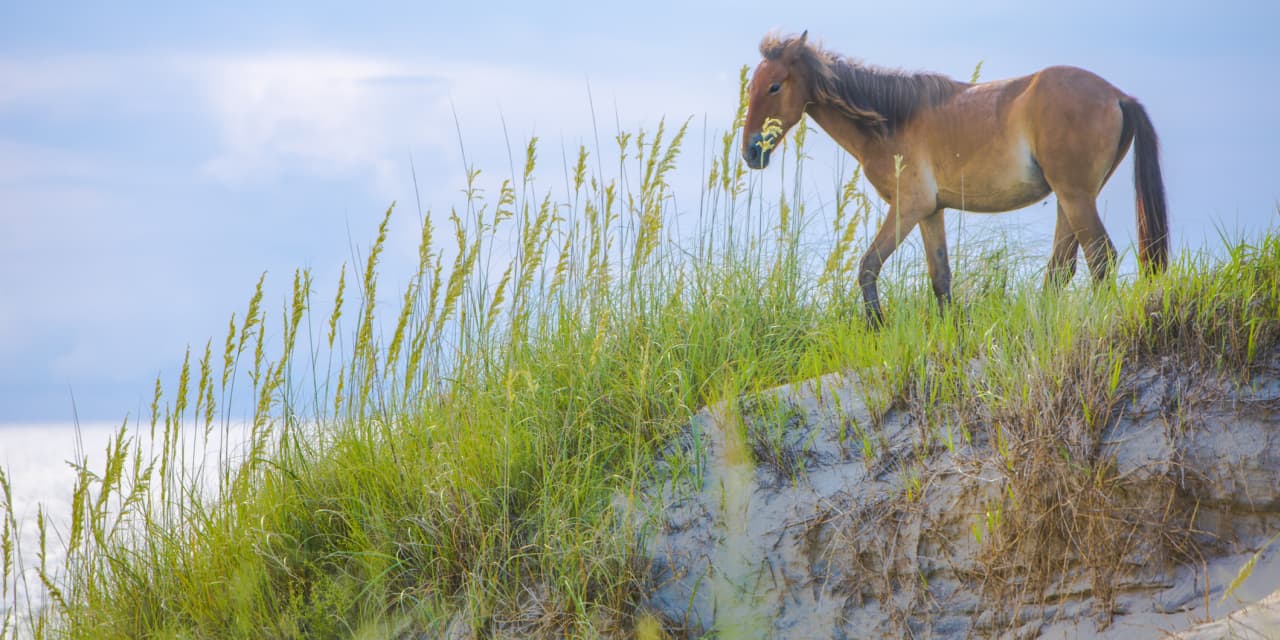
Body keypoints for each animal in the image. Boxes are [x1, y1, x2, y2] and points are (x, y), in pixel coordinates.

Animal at [742, 31, 1172, 327]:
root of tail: (1117, 95)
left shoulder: (909, 207)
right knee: (1063, 268)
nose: (750, 152)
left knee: (1100, 258)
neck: (890, 120)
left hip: (1075, 197)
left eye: (774, 86)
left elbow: (868, 265)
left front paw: (877, 327)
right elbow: (941, 278)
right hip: (1071, 199)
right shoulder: (931, 212)